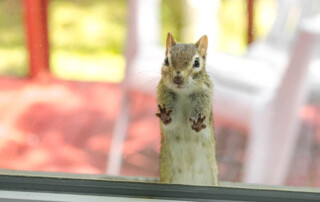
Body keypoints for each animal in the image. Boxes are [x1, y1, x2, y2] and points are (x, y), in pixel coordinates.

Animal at [156, 32, 220, 186]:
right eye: (166, 60)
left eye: (197, 62)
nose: (178, 78)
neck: (183, 93)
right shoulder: (164, 95)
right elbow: (170, 123)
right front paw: (165, 116)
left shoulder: (204, 99)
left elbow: (201, 126)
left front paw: (198, 123)